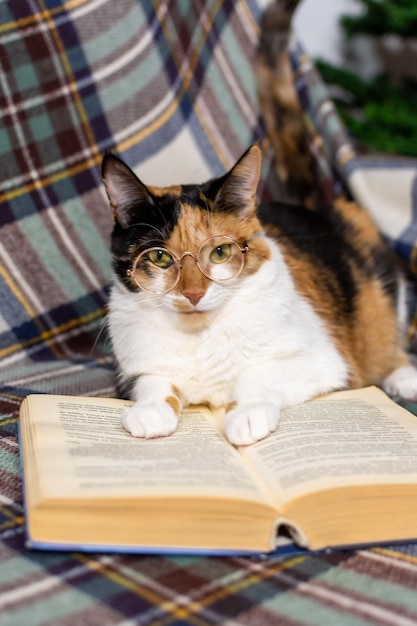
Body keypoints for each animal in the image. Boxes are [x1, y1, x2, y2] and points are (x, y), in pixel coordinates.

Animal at [102, 143, 416, 444]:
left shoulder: (325, 361)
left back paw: (404, 377)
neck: (199, 338)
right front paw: (150, 411)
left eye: (220, 252)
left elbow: (256, 373)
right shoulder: (134, 367)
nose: (193, 294)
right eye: (159, 257)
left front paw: (246, 415)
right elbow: (153, 380)